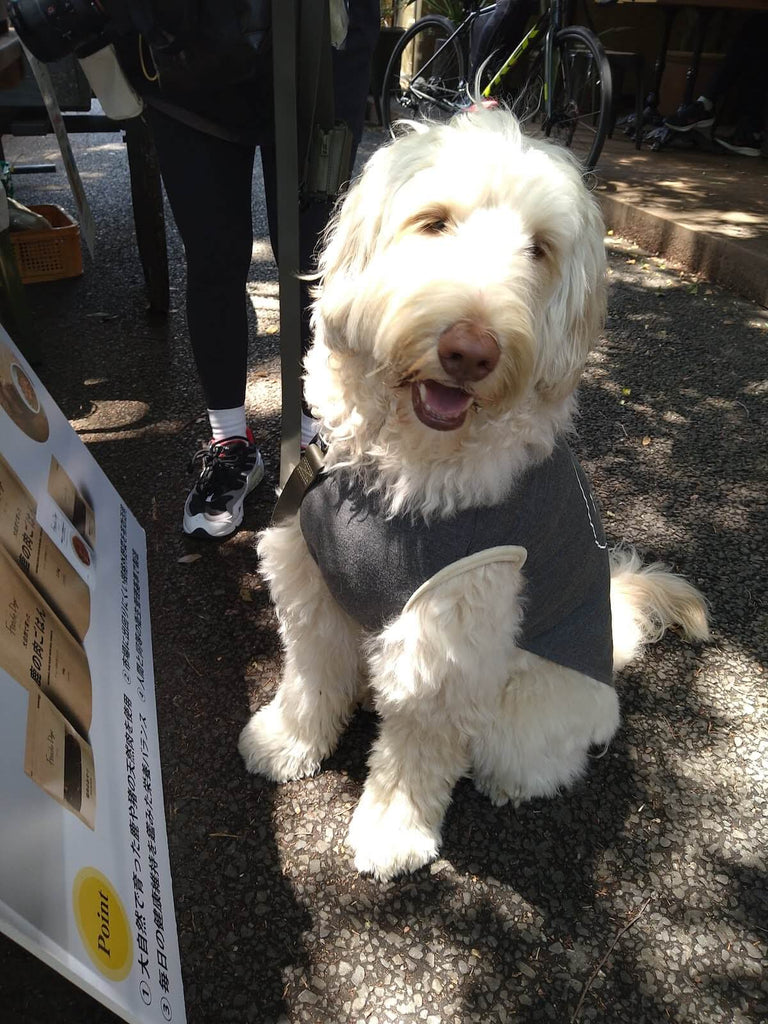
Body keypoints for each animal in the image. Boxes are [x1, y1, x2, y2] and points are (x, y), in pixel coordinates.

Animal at [239, 110, 708, 880]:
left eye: (539, 250)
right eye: (434, 222)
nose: (470, 351)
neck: (400, 470)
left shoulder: (446, 636)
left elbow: (419, 749)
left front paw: (393, 829)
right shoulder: (310, 579)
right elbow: (310, 676)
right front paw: (287, 740)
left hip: (529, 710)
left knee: (523, 755)